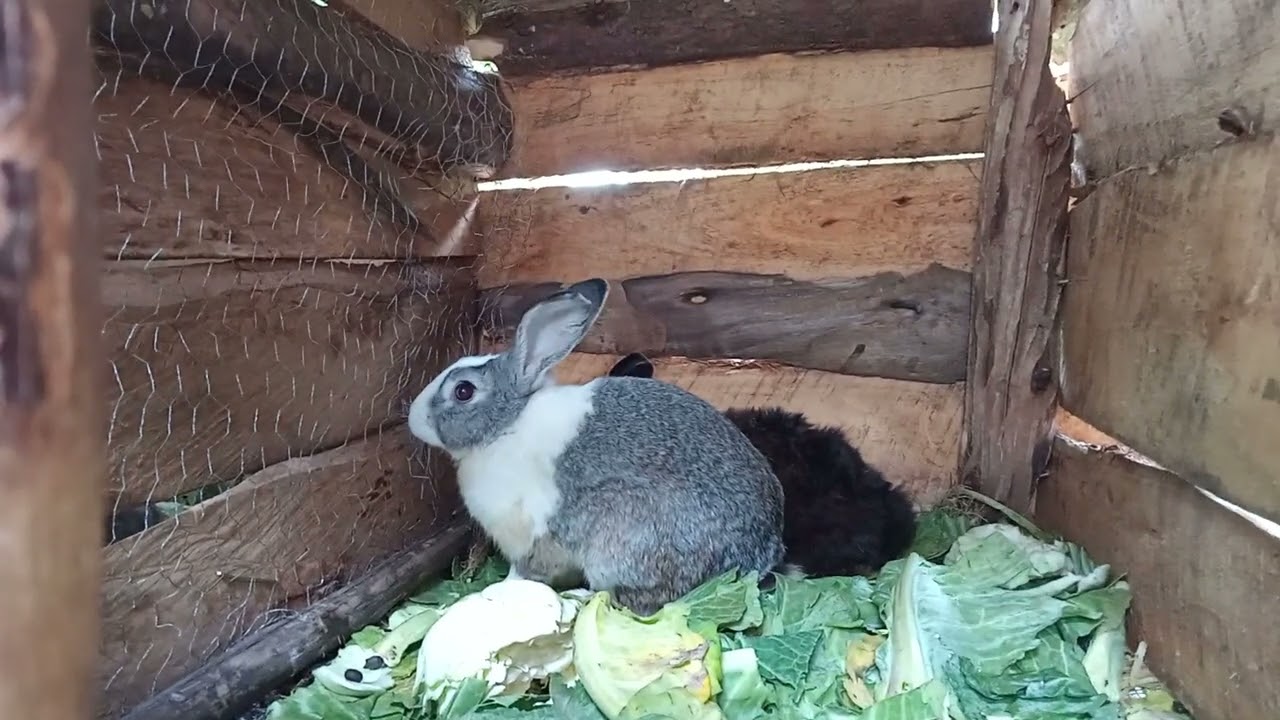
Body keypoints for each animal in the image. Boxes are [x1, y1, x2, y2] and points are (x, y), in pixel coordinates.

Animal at [406, 279, 785, 616]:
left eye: (463, 391)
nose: (413, 417)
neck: (505, 425)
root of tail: (757, 558)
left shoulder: (536, 536)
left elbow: (525, 572)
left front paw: (499, 590)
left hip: (621, 537)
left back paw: (580, 597)